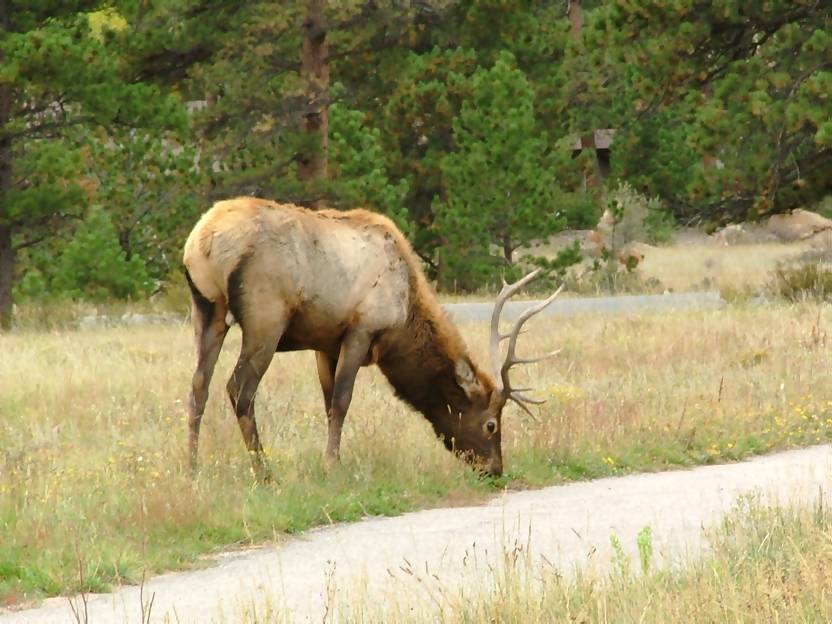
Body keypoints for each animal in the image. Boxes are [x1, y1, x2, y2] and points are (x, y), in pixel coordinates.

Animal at [182, 197, 562, 481]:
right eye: (490, 425)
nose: (494, 469)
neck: (405, 315)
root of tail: (203, 242)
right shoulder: (361, 330)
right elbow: (341, 401)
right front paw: (332, 466)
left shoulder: (324, 343)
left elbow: (327, 402)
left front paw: (331, 458)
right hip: (266, 318)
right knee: (239, 389)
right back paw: (264, 473)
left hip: (207, 310)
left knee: (198, 386)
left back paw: (193, 469)